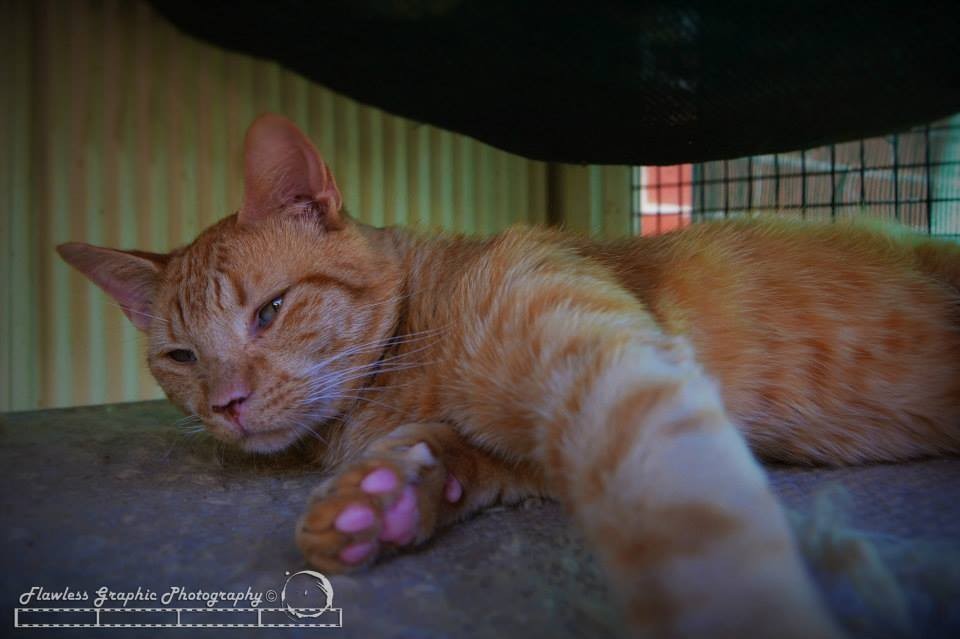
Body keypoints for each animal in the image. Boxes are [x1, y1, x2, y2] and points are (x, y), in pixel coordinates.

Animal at [57, 113, 960, 638]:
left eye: (271, 310)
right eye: (180, 357)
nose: (228, 405)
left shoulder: (615, 367)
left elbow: (688, 517)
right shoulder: (530, 454)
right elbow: (468, 454)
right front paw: (388, 495)